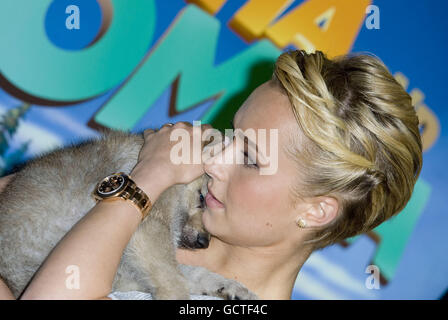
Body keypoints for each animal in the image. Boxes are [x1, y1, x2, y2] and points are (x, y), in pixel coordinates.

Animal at [0, 129, 256, 300]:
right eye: (202, 198)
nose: (205, 242)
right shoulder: (149, 234)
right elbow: (174, 280)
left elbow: (192, 273)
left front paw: (231, 287)